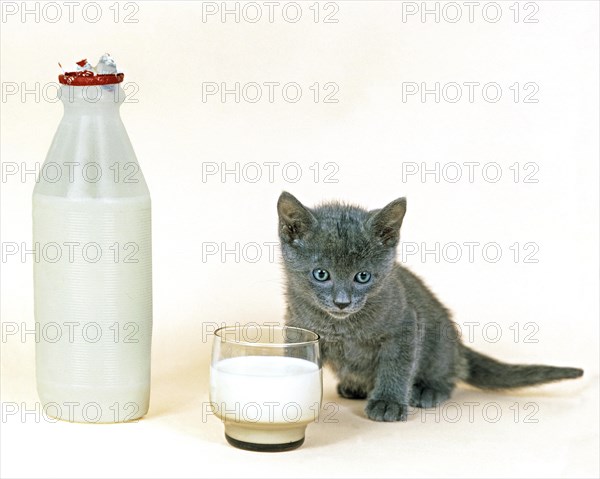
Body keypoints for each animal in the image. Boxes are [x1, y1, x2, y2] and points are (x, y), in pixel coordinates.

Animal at [278, 192, 584, 424]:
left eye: (362, 277)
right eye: (321, 274)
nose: (342, 301)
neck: (342, 326)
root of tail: (459, 348)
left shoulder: (405, 325)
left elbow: (396, 365)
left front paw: (388, 402)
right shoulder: (297, 327)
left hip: (439, 343)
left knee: (449, 375)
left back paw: (427, 390)